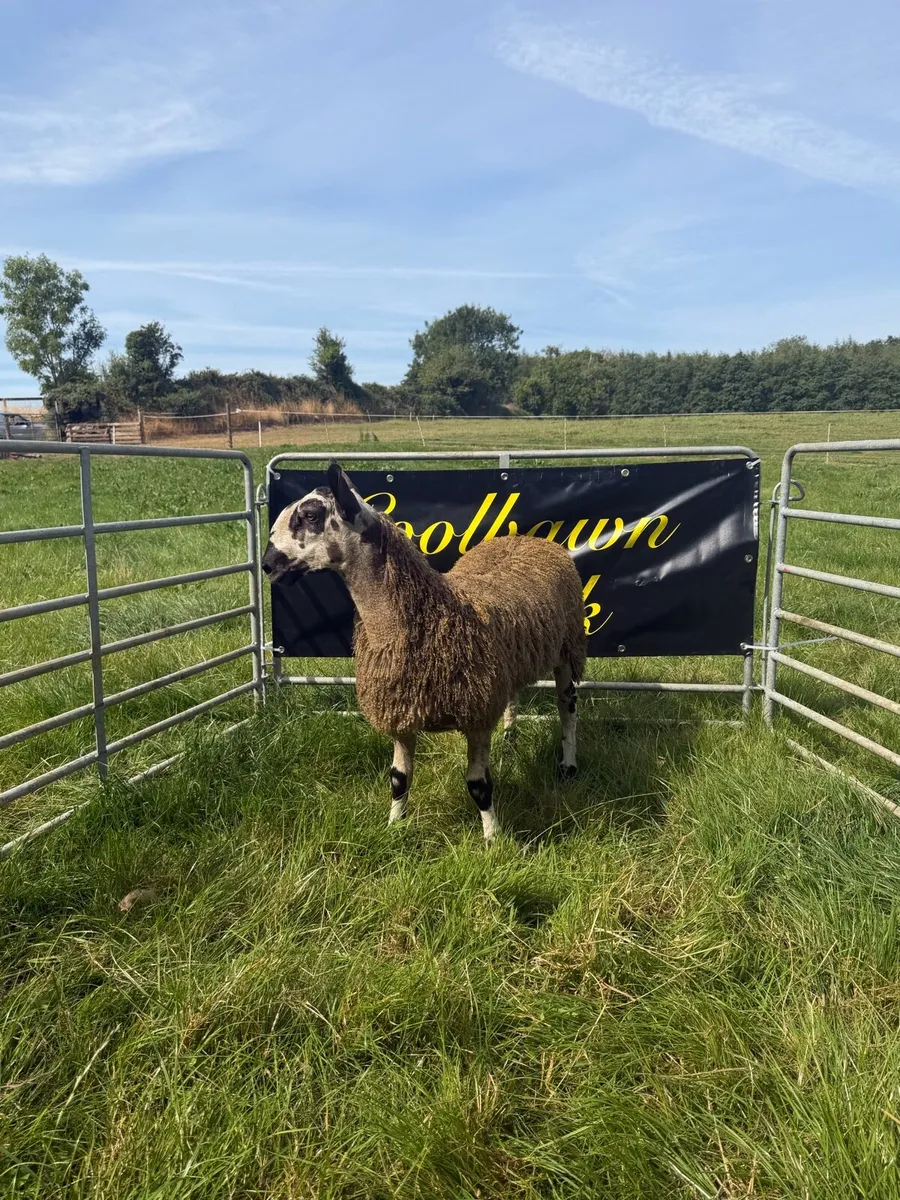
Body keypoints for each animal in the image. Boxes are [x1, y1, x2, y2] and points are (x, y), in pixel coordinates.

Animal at [262, 462, 587, 841]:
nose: (268, 565)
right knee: (512, 697)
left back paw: (568, 765)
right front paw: (393, 828)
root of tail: (525, 538)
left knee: (567, 710)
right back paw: (509, 739)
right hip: (506, 668)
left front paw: (493, 839)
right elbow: (398, 779)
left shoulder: (475, 714)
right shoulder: (402, 712)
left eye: (311, 515)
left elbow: (479, 785)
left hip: (568, 649)